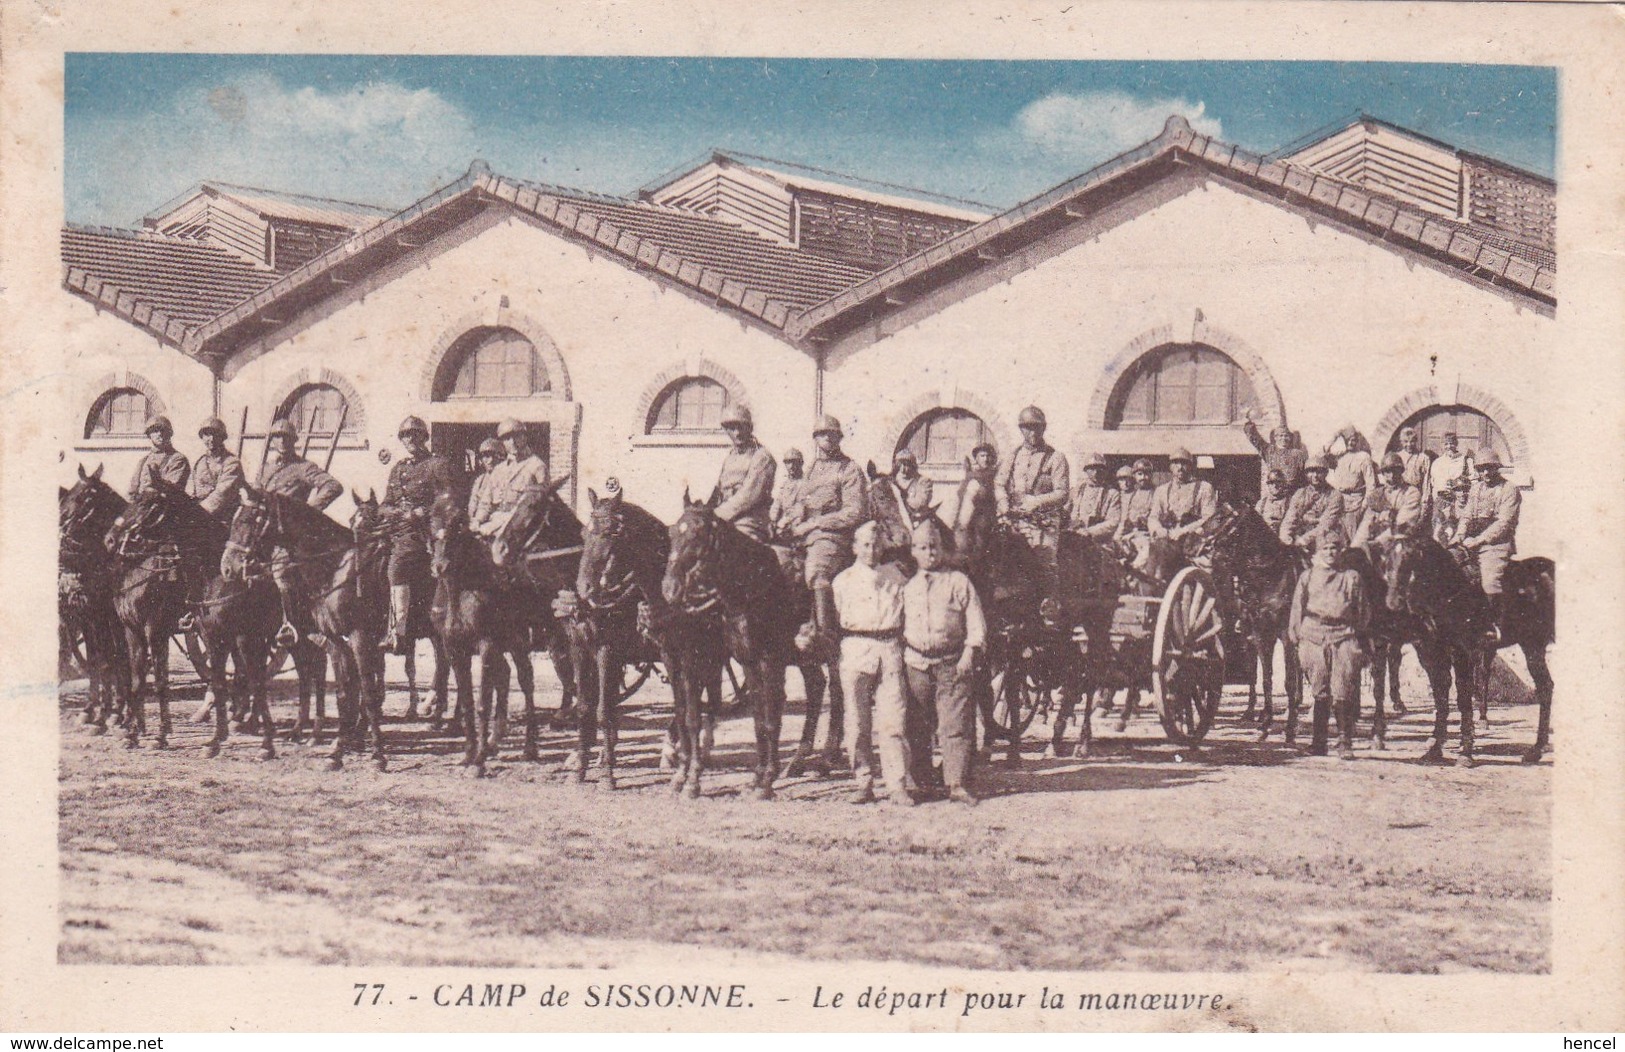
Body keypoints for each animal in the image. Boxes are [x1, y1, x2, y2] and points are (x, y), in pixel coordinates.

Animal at [59, 465, 130, 738]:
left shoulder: (111, 617)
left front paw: (113, 713)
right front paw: (94, 711)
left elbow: (115, 659)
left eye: (83, 497)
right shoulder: (89, 615)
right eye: (68, 494)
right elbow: (97, 660)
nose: (61, 527)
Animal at [108, 481, 225, 754]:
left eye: (147, 503)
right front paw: (132, 733)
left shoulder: (156, 630)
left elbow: (161, 682)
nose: (111, 539)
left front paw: (160, 735)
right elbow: (137, 680)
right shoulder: (131, 631)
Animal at [663, 491, 796, 803]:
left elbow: (769, 719)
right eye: (672, 533)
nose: (670, 589)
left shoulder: (769, 661)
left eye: (698, 534)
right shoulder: (746, 661)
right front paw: (758, 778)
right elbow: (758, 719)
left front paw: (767, 781)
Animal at [1378, 539, 1553, 770]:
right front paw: (1435, 748)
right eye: (1386, 559)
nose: (1392, 602)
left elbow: (1463, 698)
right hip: (1532, 644)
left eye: (1410, 557)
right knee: (1545, 687)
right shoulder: (1433, 652)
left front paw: (1465, 752)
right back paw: (1535, 750)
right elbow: (1441, 696)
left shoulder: (1462, 651)